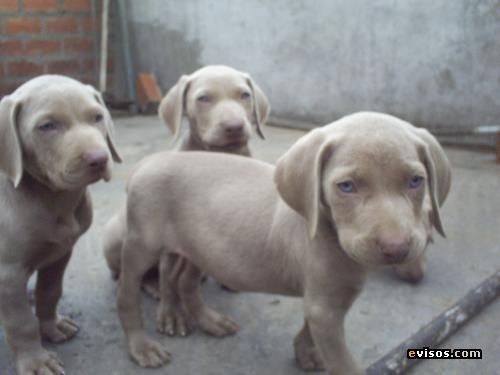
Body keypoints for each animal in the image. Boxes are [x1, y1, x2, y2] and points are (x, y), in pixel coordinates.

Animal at [0, 75, 121, 374]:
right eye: (47, 126)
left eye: (97, 117)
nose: (99, 159)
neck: (54, 200)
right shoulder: (8, 273)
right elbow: (21, 322)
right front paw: (36, 361)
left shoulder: (60, 252)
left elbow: (50, 291)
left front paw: (51, 326)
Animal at [101, 65, 270, 332]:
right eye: (203, 98)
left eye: (245, 95)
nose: (234, 126)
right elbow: (167, 273)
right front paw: (171, 313)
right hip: (120, 236)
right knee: (132, 273)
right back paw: (152, 286)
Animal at [115, 111, 452, 374]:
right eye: (346, 187)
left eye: (415, 181)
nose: (397, 249)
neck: (327, 229)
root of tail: (146, 163)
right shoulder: (325, 306)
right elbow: (343, 364)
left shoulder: (323, 301)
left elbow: (308, 328)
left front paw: (304, 352)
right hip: (142, 246)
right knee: (129, 294)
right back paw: (141, 345)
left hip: (199, 247)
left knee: (183, 280)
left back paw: (208, 321)